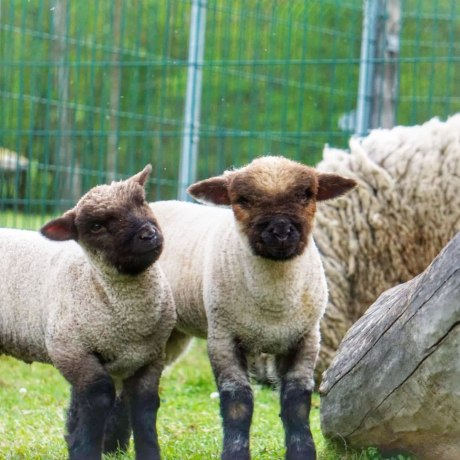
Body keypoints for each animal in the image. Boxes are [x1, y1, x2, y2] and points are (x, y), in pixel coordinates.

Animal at [0, 165, 176, 460]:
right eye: (96, 226)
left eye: (141, 201)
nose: (148, 235)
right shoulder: (71, 349)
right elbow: (98, 398)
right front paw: (84, 449)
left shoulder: (150, 356)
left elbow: (145, 406)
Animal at [150, 155, 356, 460]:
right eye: (243, 199)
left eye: (307, 194)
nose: (280, 231)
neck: (273, 307)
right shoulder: (223, 338)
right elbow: (238, 402)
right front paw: (234, 453)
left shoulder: (306, 338)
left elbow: (297, 401)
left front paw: (302, 452)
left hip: (170, 335)